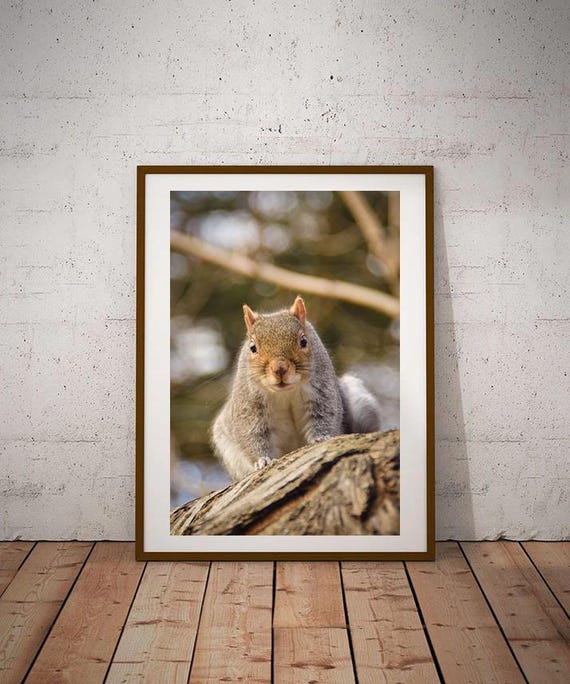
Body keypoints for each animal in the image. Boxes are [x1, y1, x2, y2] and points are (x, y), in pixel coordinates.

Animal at [211, 295, 382, 480]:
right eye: (253, 348)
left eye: (303, 341)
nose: (279, 369)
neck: (285, 393)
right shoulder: (249, 404)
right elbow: (252, 434)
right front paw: (262, 460)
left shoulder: (322, 391)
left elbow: (324, 416)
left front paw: (320, 438)